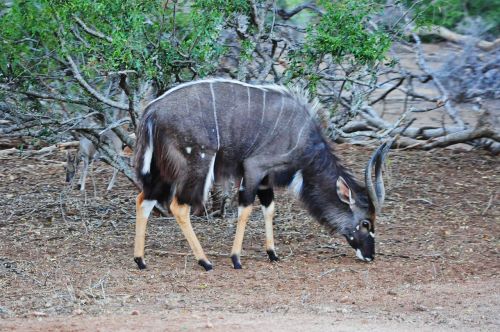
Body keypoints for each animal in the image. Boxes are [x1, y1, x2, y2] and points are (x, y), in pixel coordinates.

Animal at [135, 79, 392, 272]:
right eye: (366, 222)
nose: (370, 255)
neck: (303, 139)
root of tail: (151, 112)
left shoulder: (266, 180)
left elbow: (269, 208)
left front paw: (272, 253)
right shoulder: (253, 168)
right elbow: (246, 208)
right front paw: (236, 259)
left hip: (162, 170)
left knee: (143, 199)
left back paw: (140, 260)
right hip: (196, 164)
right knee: (178, 206)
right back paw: (205, 262)